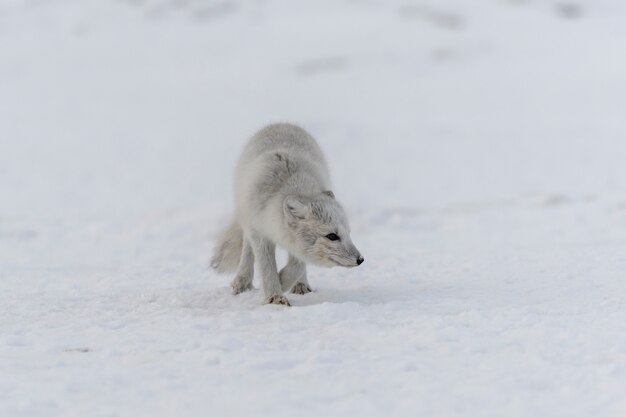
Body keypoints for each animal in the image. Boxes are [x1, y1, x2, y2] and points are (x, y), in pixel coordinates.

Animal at [212, 122, 364, 304]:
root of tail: (281, 123)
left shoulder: (295, 243)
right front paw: (275, 296)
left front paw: (282, 281)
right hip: (247, 218)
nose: (360, 259)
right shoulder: (260, 232)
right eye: (332, 236)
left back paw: (301, 286)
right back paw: (242, 282)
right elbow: (267, 266)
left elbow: (297, 265)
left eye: (348, 233)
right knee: (247, 249)